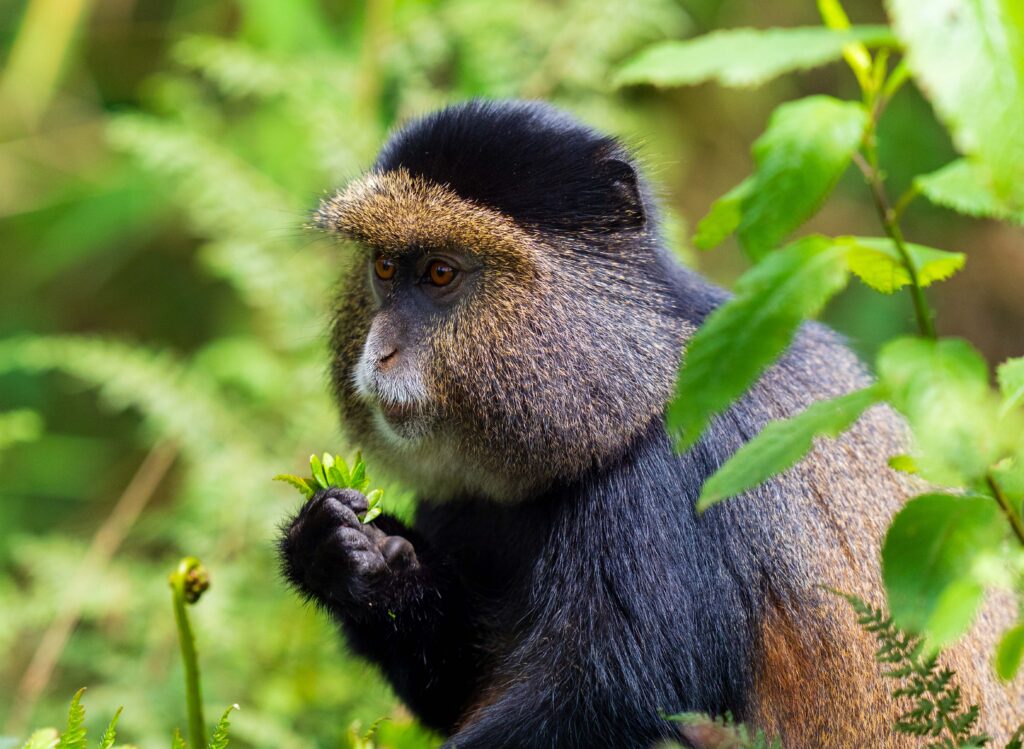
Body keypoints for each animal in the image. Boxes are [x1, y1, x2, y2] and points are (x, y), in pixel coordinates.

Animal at [278, 99, 1022, 748]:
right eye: (383, 267)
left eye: (439, 273)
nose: (380, 352)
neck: (631, 383)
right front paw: (352, 554)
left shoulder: (665, 488)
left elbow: (603, 703)